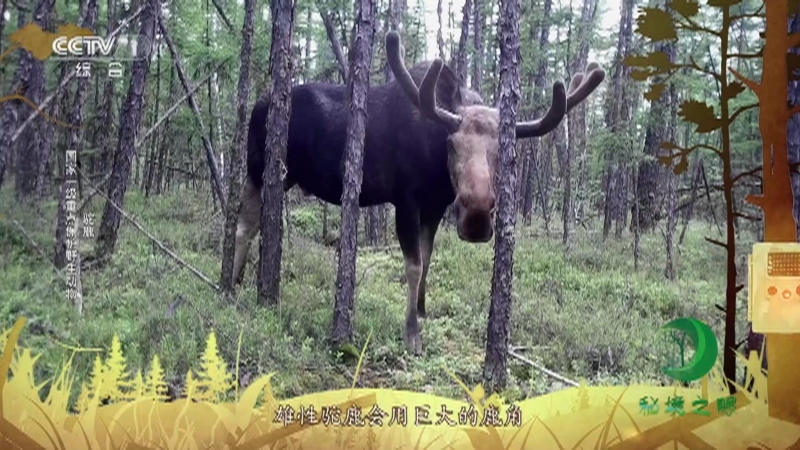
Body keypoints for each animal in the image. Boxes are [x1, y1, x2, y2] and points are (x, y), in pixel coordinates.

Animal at [232, 31, 606, 355]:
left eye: (505, 151)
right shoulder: (406, 200)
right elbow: (412, 265)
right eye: (451, 144)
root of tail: (257, 106)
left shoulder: (435, 206)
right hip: (258, 170)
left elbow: (427, 258)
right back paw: (231, 285)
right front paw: (412, 333)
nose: (476, 215)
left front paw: (423, 309)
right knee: (243, 226)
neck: (437, 169)